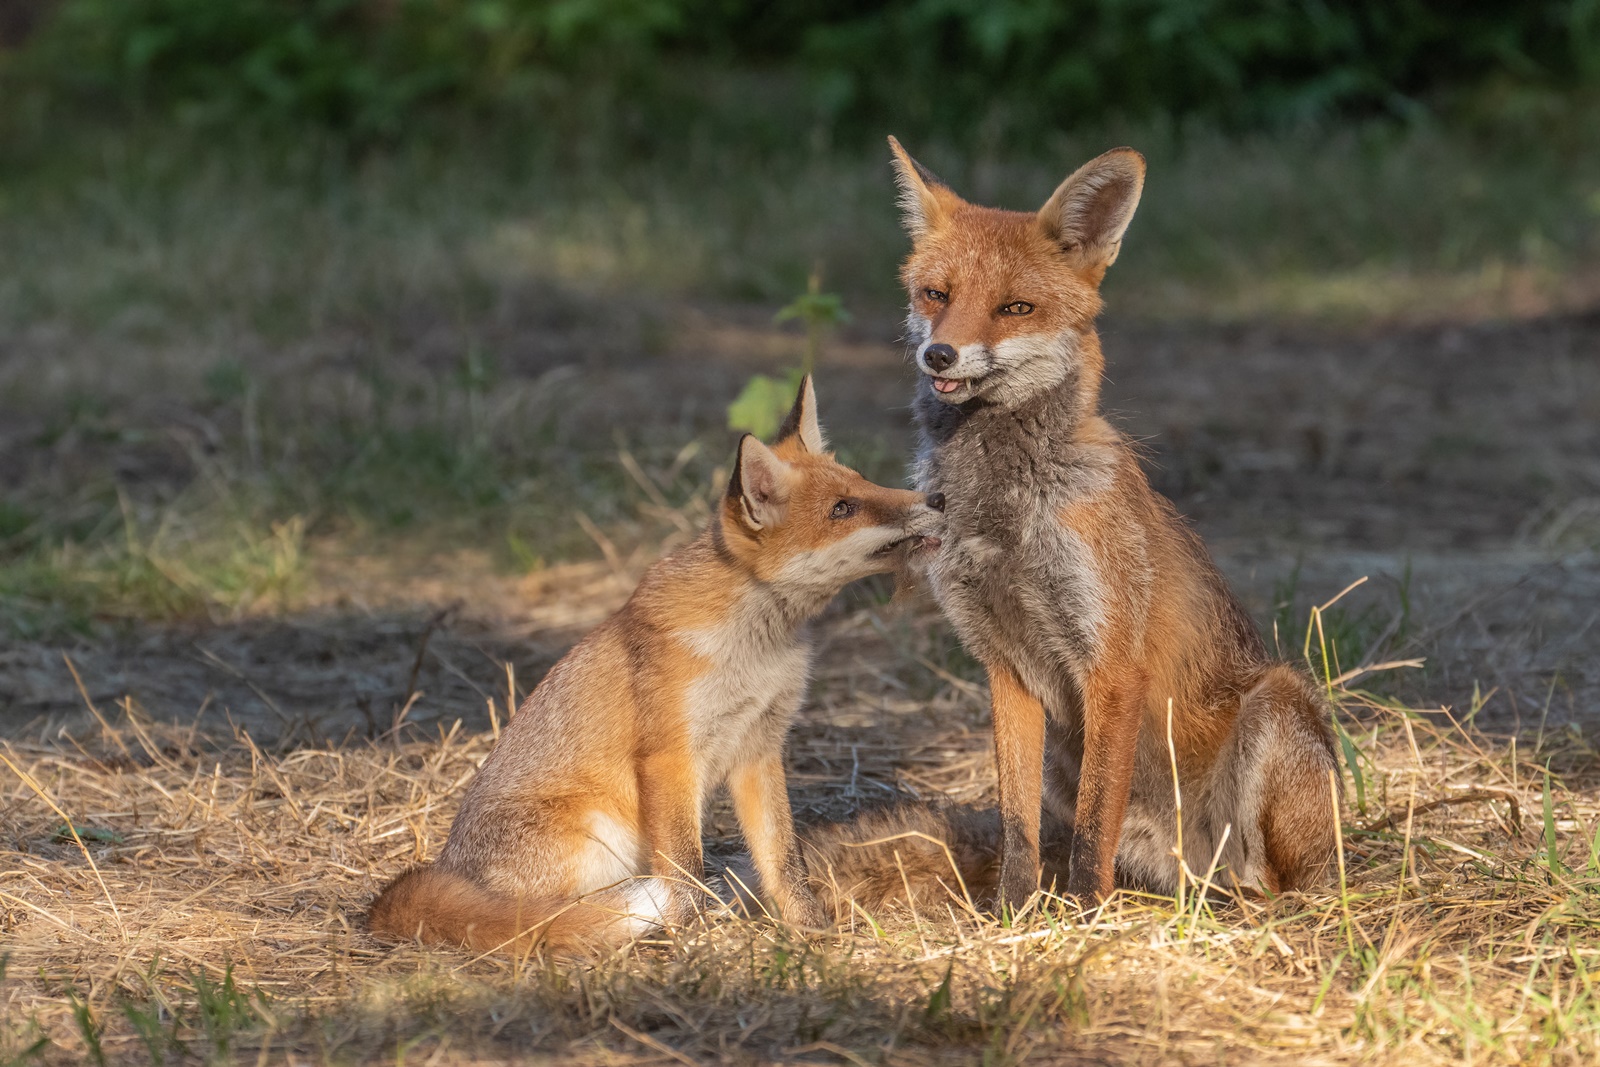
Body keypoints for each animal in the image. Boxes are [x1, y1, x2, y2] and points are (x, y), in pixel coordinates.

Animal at [366, 377, 940, 959]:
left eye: (864, 482)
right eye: (843, 508)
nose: (936, 498)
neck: (755, 653)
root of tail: (440, 876)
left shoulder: (759, 747)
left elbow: (784, 859)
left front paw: (809, 931)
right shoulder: (670, 756)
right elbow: (685, 866)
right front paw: (696, 937)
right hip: (594, 831)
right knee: (552, 918)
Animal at [857, 139, 1344, 908]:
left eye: (1014, 308)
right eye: (936, 294)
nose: (939, 354)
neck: (1007, 518)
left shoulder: (1111, 661)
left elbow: (1092, 828)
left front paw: (1086, 913)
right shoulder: (1005, 665)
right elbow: (1017, 824)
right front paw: (1014, 911)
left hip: (1277, 703)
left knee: (1271, 881)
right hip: (1078, 769)